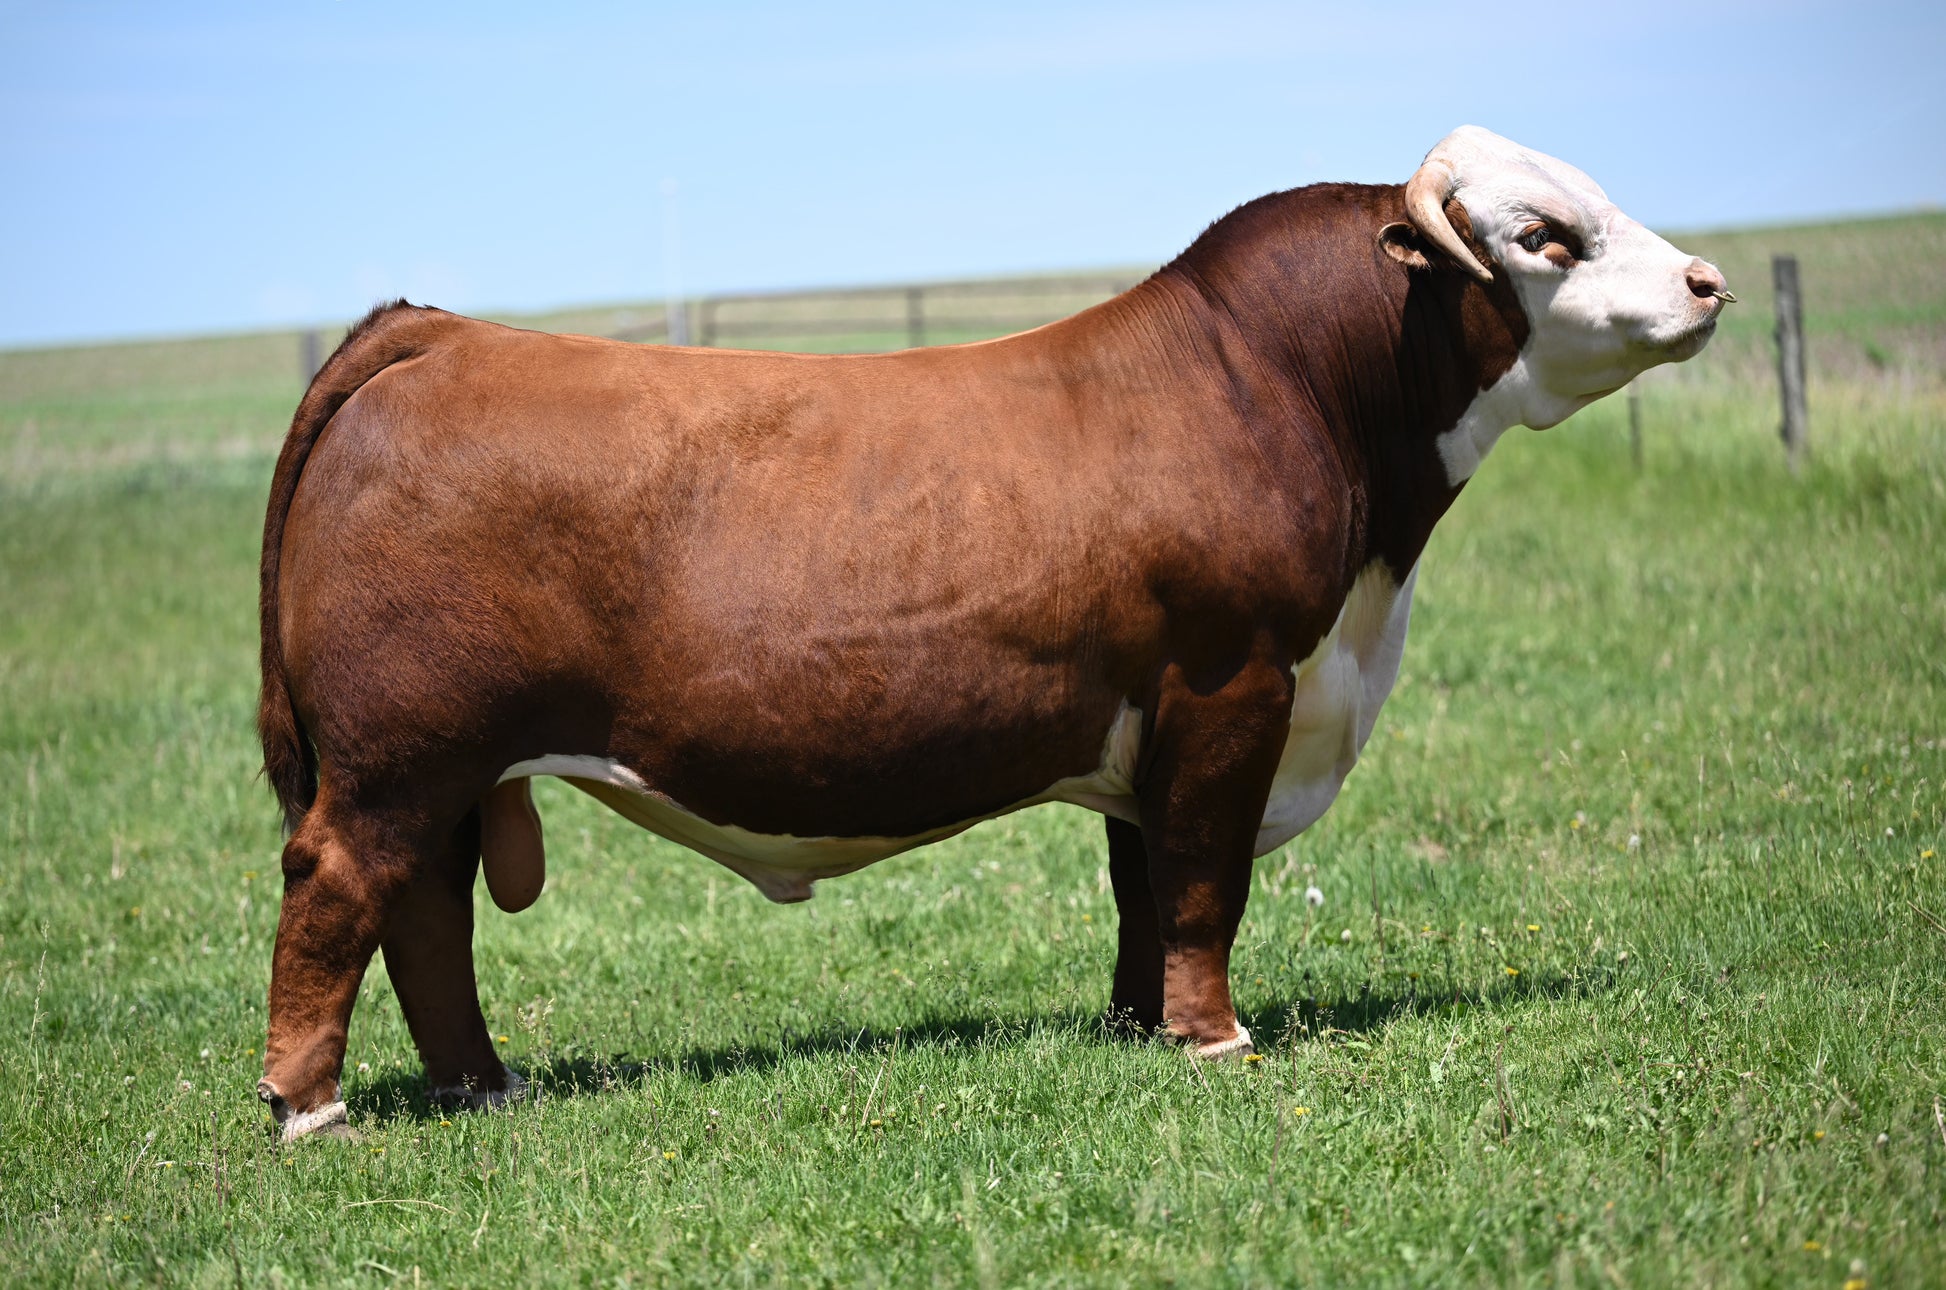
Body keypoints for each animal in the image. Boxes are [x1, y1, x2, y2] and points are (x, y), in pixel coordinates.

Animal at [254, 127, 1731, 1140]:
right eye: (1542, 233)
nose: (1706, 282)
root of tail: (435, 332)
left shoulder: (1156, 719)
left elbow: (1146, 883)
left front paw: (1138, 1027)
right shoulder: (1232, 686)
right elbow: (1205, 880)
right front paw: (1215, 1041)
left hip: (444, 770)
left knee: (427, 914)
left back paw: (483, 1087)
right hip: (400, 756)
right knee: (339, 887)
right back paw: (313, 1111)